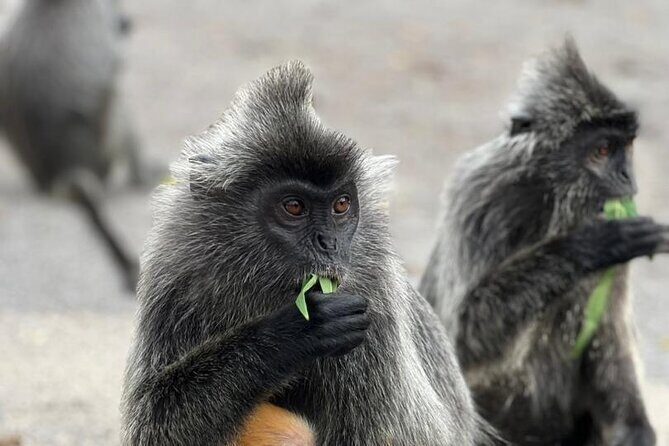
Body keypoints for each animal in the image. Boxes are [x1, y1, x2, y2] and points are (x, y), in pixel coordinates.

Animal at [120, 61, 488, 446]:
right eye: (294, 207)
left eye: (341, 205)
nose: (328, 243)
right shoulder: (178, 271)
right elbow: (154, 418)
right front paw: (293, 333)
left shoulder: (374, 301)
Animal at [419, 39, 669, 445]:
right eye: (601, 151)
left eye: (625, 148)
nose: (627, 177)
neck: (550, 199)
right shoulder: (484, 197)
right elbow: (464, 333)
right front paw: (593, 244)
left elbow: (608, 333)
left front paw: (635, 430)